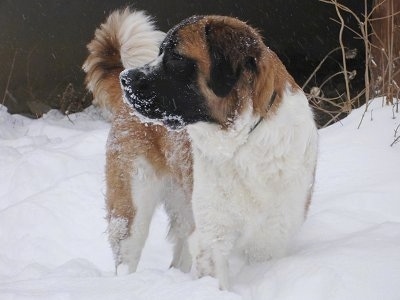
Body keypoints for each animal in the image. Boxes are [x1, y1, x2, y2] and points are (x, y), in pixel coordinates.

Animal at [84, 7, 318, 288]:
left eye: (176, 58)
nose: (125, 79)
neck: (241, 141)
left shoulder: (271, 237)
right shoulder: (212, 237)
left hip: (184, 207)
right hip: (132, 206)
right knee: (127, 254)